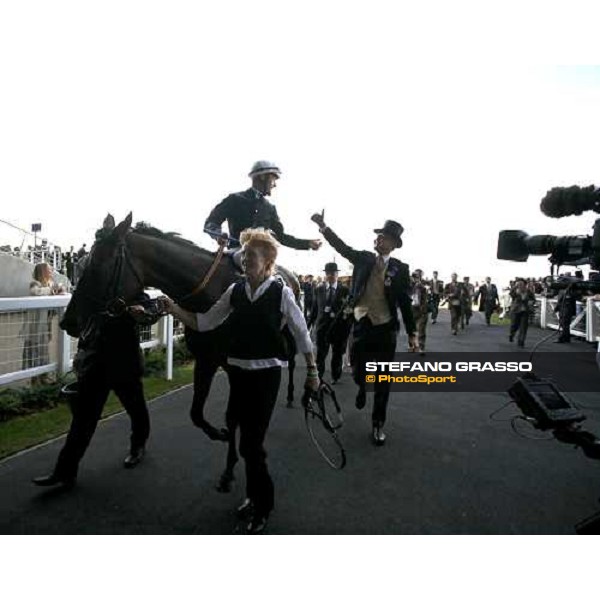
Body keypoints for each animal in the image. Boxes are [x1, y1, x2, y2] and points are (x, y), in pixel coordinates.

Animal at [63, 216, 300, 492]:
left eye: (98, 265)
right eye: (82, 263)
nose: (68, 321)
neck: (210, 294)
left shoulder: (236, 366)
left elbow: (234, 415)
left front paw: (230, 465)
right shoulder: (206, 359)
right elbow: (197, 413)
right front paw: (221, 439)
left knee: (292, 362)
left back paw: (293, 395)